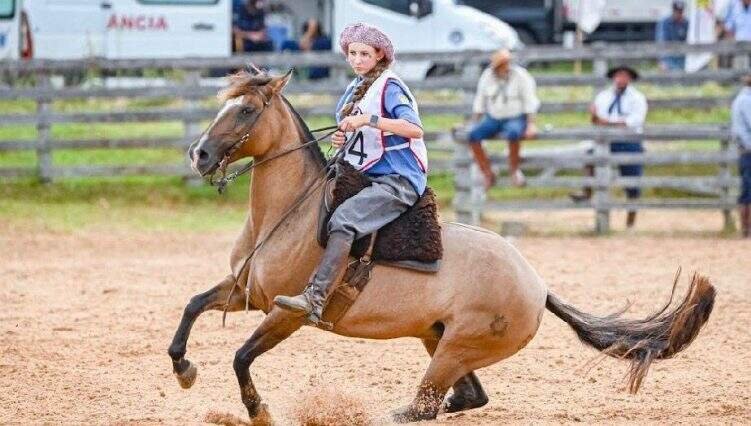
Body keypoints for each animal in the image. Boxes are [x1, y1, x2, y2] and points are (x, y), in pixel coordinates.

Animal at [167, 69, 715, 423]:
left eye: (245, 109)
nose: (199, 155)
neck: (291, 215)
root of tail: (538, 285)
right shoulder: (247, 293)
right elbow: (192, 306)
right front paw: (184, 369)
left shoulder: (287, 312)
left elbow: (241, 357)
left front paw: (258, 410)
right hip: (440, 340)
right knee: (463, 400)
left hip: (452, 351)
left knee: (422, 408)